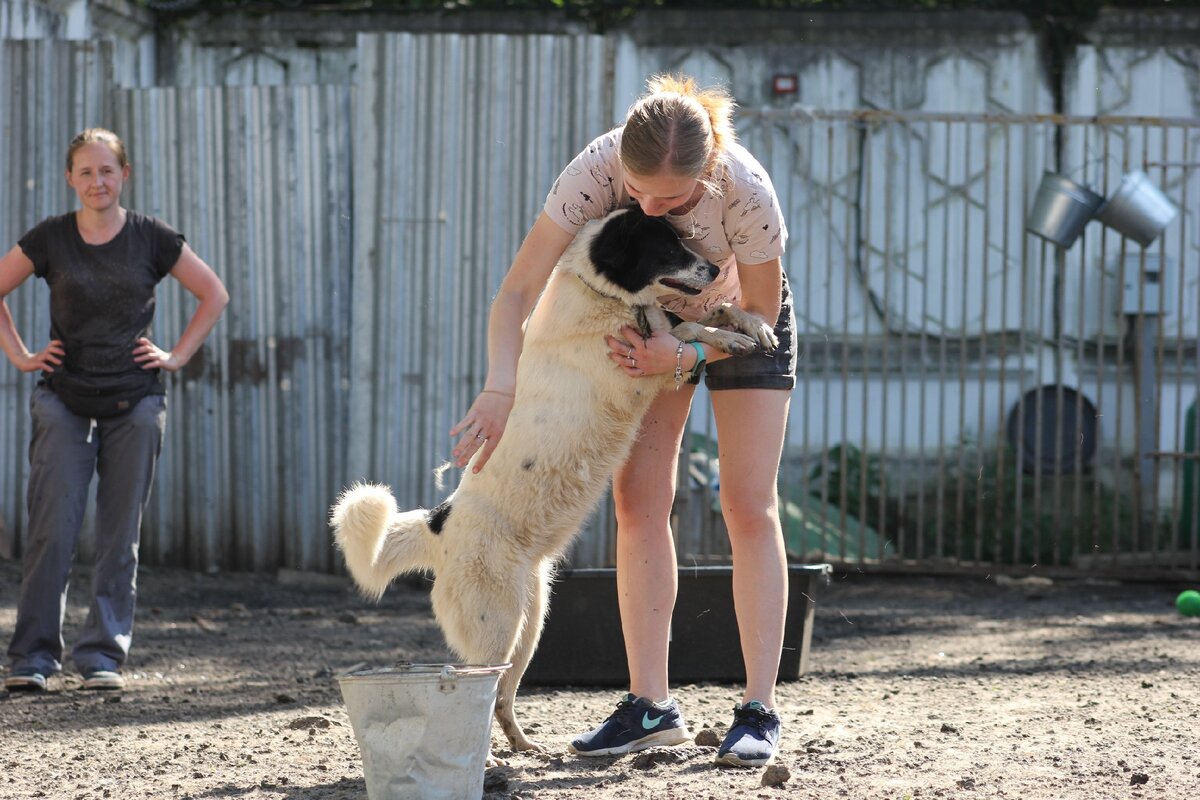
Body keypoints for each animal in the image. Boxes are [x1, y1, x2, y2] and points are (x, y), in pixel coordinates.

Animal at [331, 205, 777, 758]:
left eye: (681, 237)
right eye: (667, 247)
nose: (716, 269)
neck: (604, 293)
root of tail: (440, 523)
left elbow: (711, 311)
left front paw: (753, 324)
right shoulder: (639, 365)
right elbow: (690, 324)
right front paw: (730, 338)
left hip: (530, 623)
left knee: (501, 696)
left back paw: (522, 746)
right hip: (497, 626)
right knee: (471, 683)